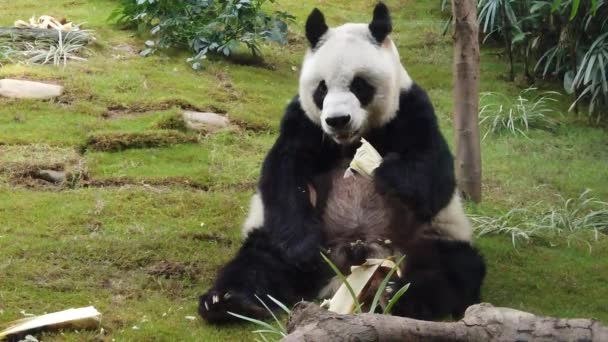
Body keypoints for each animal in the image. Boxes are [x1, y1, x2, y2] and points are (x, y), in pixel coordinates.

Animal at [198, 2, 484, 324]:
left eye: (359, 85)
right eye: (321, 89)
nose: (337, 120)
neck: (351, 141)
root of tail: (350, 262)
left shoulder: (411, 108)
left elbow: (435, 174)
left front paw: (386, 172)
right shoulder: (304, 122)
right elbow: (282, 174)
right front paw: (303, 250)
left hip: (430, 236)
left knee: (451, 268)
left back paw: (398, 296)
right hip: (275, 235)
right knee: (260, 260)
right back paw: (230, 301)